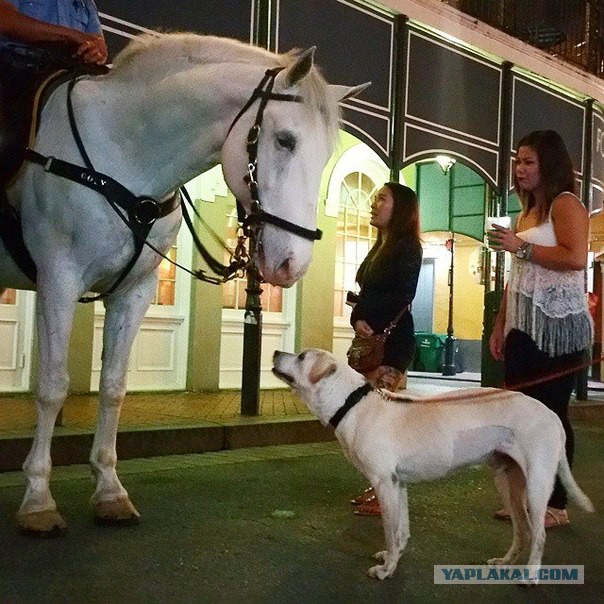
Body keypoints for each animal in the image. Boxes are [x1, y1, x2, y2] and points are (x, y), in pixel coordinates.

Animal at [0, 33, 368, 532]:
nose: (292, 263)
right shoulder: (59, 277)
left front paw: (109, 488)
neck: (122, 151)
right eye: (285, 140)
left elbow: (113, 387)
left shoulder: (134, 292)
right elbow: (53, 386)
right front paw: (38, 498)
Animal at [274, 350, 596, 580]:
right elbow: (400, 531)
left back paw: (530, 576)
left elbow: (390, 531)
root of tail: (552, 414)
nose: (276, 351)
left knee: (539, 533)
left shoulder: (383, 484)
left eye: (302, 356)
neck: (352, 403)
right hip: (507, 483)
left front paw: (386, 570)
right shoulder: (398, 484)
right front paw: (393, 558)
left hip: (537, 484)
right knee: (522, 530)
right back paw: (505, 563)